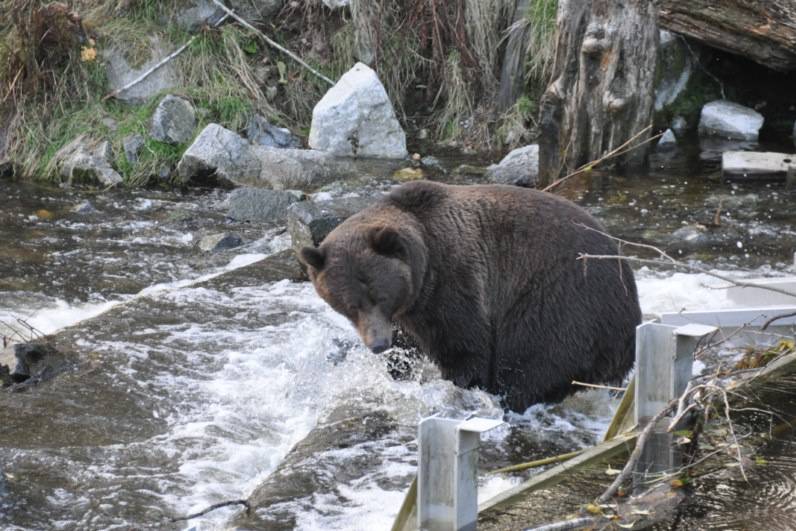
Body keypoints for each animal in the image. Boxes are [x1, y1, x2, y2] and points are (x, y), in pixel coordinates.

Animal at [298, 180, 640, 412]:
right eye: (349, 305)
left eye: (380, 296)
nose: (378, 344)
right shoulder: (410, 315)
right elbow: (408, 349)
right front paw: (398, 370)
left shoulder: (453, 283)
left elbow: (465, 347)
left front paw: (458, 383)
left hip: (562, 300)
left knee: (531, 360)